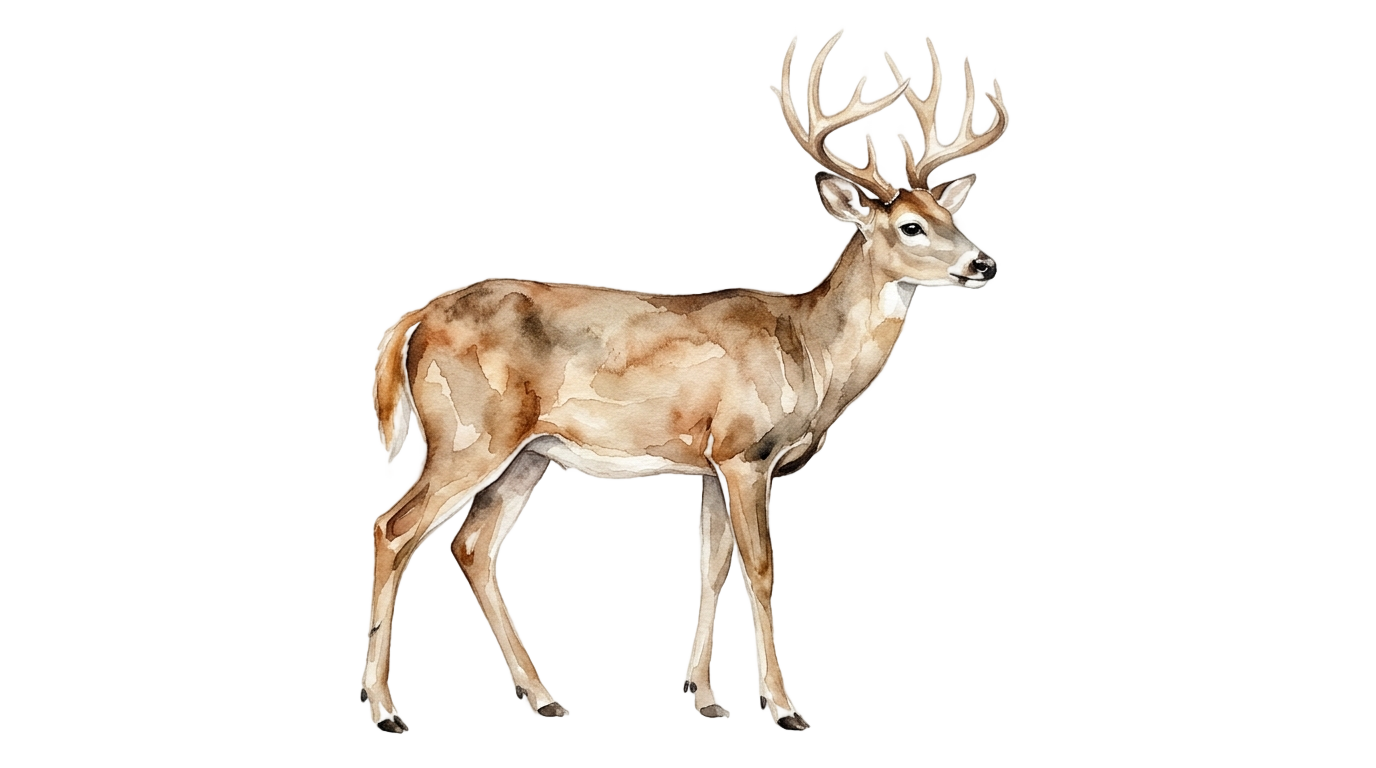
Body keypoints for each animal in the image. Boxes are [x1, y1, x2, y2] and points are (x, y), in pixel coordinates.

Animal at [358, 33, 1008, 738]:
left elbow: (712, 566)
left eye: (948, 215)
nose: (983, 263)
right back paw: (384, 709)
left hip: (528, 450)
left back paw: (542, 697)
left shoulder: (712, 463)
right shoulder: (745, 453)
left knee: (471, 545)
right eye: (911, 226)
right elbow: (760, 569)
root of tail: (415, 321)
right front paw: (783, 708)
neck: (809, 350)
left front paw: (702, 694)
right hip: (469, 435)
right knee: (392, 530)